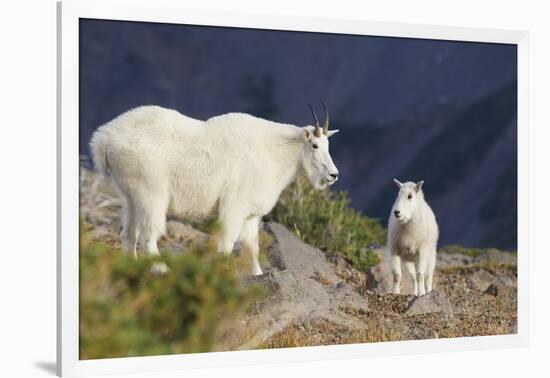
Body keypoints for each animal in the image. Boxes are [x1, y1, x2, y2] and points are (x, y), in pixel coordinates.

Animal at [90, 103, 340, 274]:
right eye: (315, 145)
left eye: (329, 145)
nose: (333, 175)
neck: (273, 152)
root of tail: (104, 138)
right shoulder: (234, 207)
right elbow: (227, 245)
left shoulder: (250, 215)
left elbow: (252, 247)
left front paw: (258, 274)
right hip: (151, 193)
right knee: (148, 237)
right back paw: (163, 270)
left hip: (130, 194)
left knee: (128, 234)